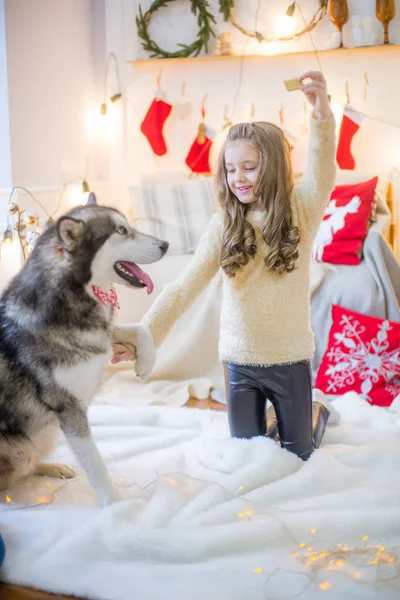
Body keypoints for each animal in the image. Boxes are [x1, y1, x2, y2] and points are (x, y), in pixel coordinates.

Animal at [0, 206, 167, 506]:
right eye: (121, 231)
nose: (166, 245)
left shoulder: (100, 338)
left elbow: (140, 328)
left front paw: (146, 361)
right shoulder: (70, 408)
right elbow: (95, 462)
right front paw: (115, 505)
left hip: (41, 437)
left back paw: (52, 467)